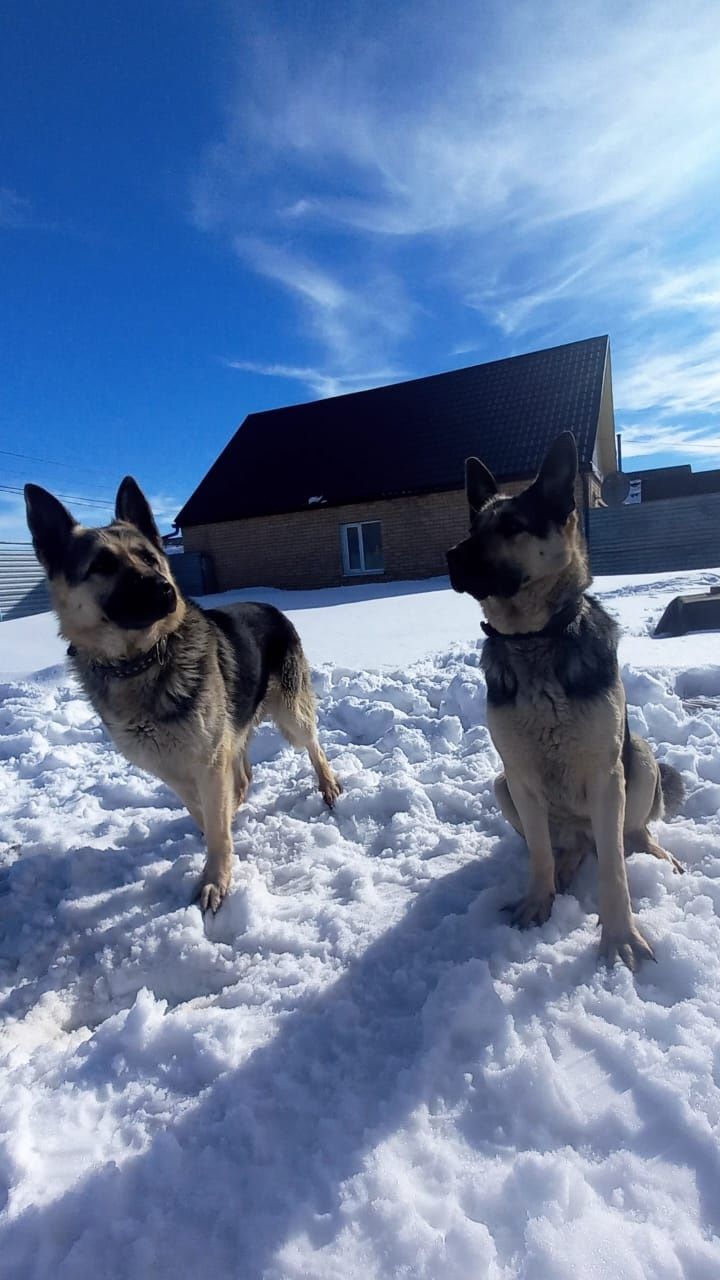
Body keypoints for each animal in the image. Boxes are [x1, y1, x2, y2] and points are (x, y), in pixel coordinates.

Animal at [26, 478, 340, 911]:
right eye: (102, 565)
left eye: (149, 558)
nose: (164, 589)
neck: (140, 661)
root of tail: (272, 606)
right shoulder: (175, 767)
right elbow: (203, 813)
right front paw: (218, 837)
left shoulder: (208, 758)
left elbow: (217, 824)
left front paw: (216, 880)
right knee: (243, 777)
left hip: (291, 715)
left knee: (313, 745)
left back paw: (328, 786)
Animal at [445, 432, 681, 967]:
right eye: (473, 526)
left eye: (512, 526)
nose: (450, 556)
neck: (532, 638)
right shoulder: (520, 778)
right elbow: (538, 854)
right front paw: (538, 903)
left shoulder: (606, 776)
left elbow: (614, 871)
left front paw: (620, 938)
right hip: (501, 786)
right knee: (562, 849)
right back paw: (567, 867)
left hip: (640, 757)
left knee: (630, 834)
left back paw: (653, 853)